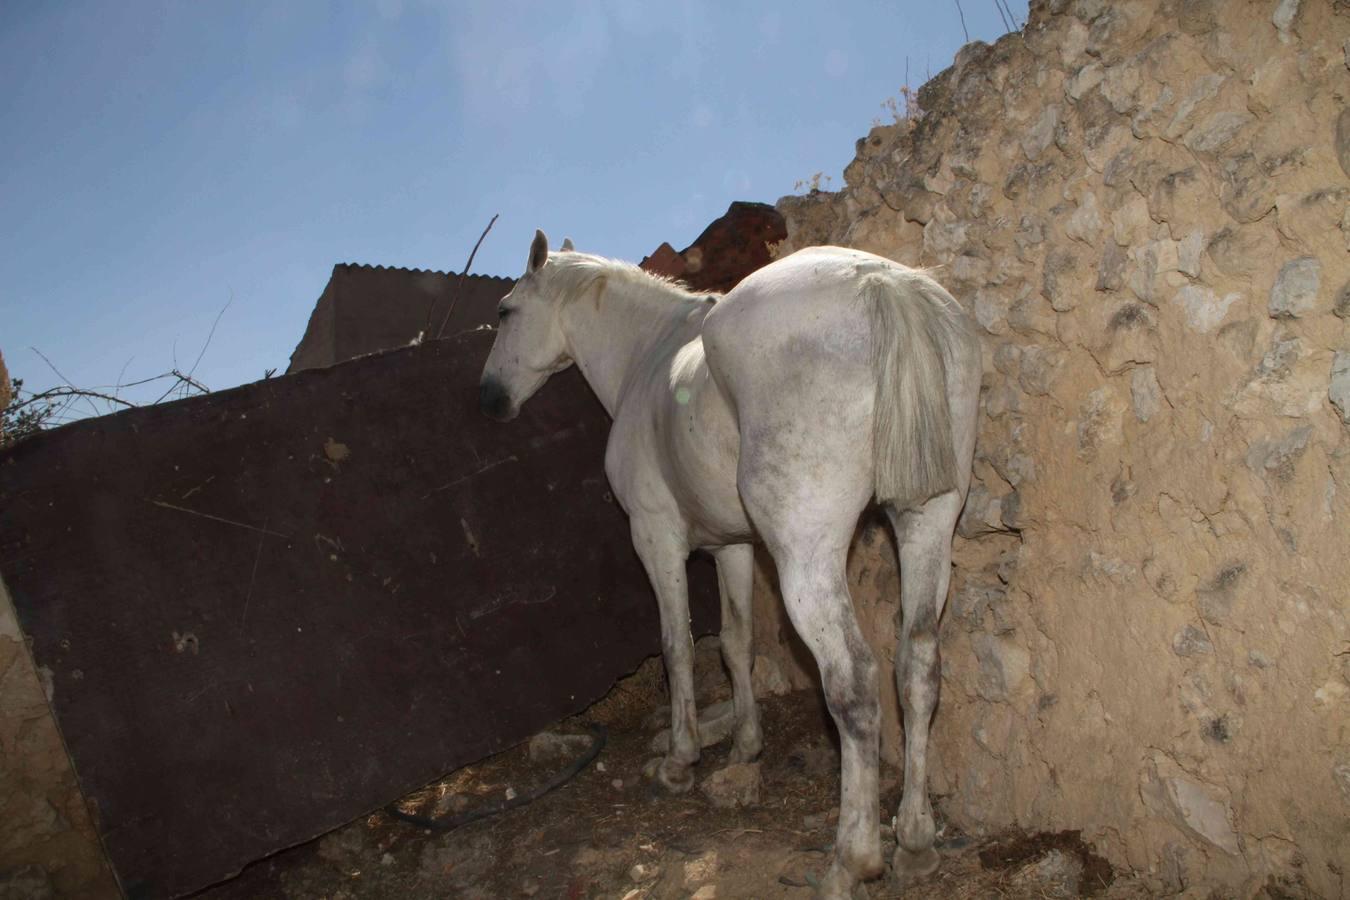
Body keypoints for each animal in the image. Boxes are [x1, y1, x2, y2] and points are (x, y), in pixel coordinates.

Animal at [477, 230, 982, 895]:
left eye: (506, 311)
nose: (488, 398)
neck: (647, 359)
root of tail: (882, 282)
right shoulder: (732, 546)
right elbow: (737, 643)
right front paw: (746, 744)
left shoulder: (657, 538)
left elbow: (678, 648)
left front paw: (679, 761)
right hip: (926, 523)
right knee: (918, 669)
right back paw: (916, 841)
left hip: (807, 557)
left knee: (853, 683)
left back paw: (851, 860)